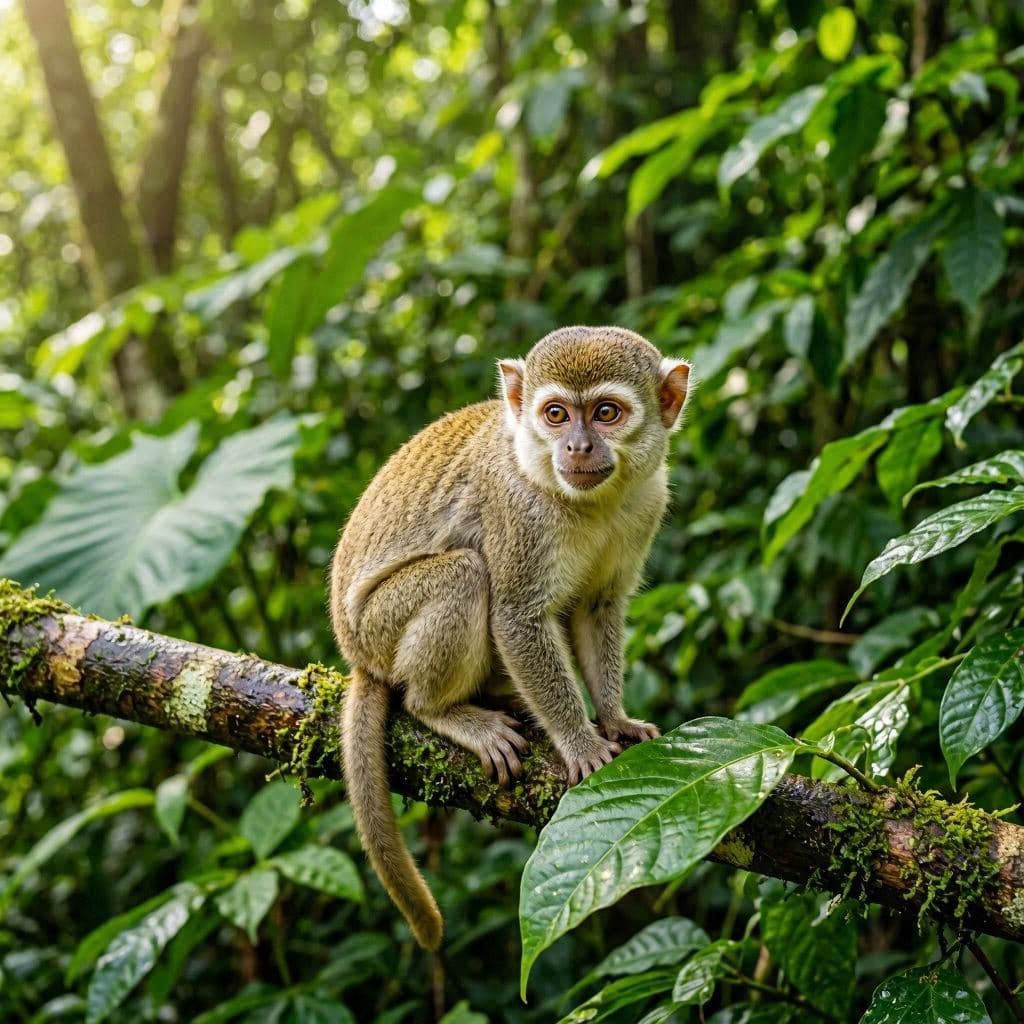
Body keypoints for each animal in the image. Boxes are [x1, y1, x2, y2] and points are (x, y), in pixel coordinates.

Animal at [329, 325, 691, 950]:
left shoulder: (648, 502)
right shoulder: (519, 511)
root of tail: (356, 655)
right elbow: (516, 619)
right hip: (379, 627)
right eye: (556, 414)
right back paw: (440, 710)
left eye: (606, 413)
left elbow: (597, 608)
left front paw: (614, 719)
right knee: (466, 574)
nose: (577, 447)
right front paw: (580, 742)